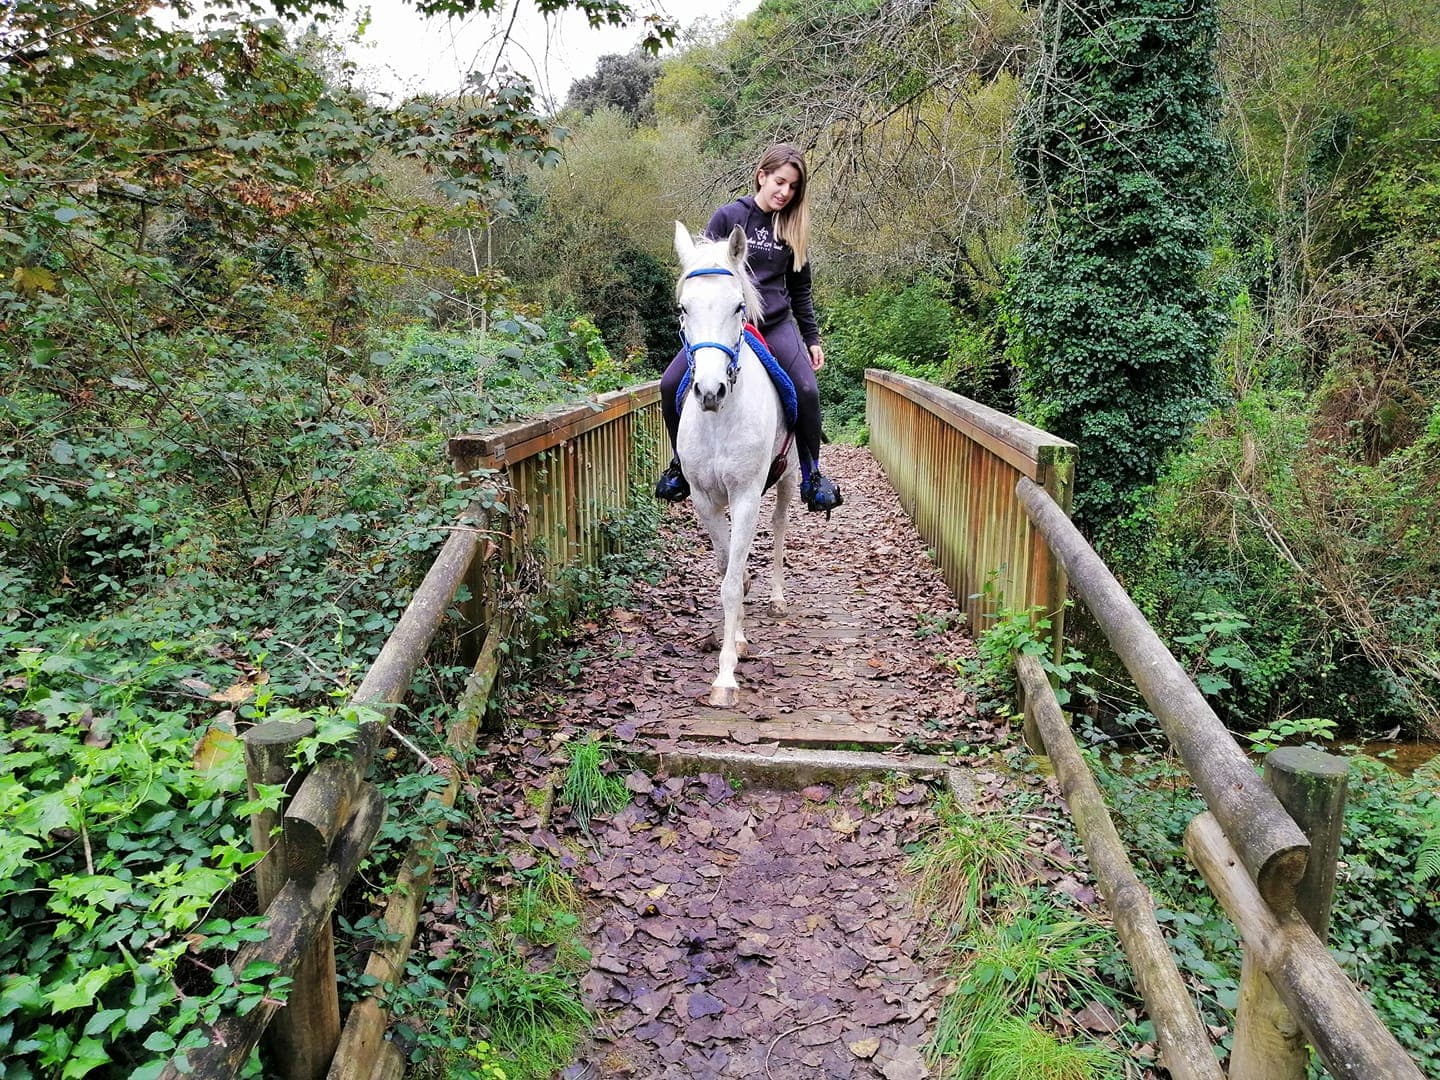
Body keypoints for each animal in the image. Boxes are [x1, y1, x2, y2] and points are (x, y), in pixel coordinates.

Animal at [671, 220, 800, 711]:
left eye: (738, 306)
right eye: (684, 308)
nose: (710, 391)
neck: (720, 421)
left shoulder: (746, 496)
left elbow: (730, 581)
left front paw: (725, 676)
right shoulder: (706, 499)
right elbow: (730, 569)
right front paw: (737, 637)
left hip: (788, 479)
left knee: (780, 528)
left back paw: (778, 598)